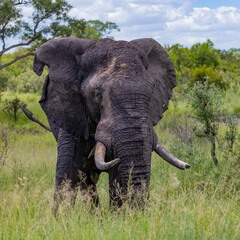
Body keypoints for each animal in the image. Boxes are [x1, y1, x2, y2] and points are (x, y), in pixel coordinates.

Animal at [24, 37, 189, 210]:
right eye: (97, 95)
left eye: (151, 93)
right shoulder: (71, 113)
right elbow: (68, 169)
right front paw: (62, 215)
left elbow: (116, 176)